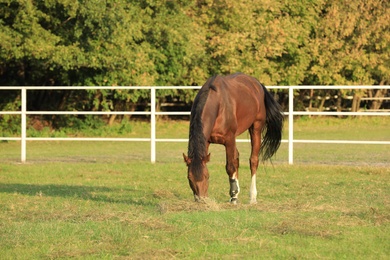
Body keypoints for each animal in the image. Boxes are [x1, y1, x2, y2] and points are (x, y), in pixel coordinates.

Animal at [183, 72, 284, 204]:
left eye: (207, 176)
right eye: (189, 177)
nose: (201, 200)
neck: (218, 105)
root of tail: (257, 83)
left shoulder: (229, 140)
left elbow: (230, 167)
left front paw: (234, 197)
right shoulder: (206, 141)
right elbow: (233, 163)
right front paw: (234, 194)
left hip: (256, 128)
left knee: (253, 161)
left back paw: (252, 197)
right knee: (237, 158)